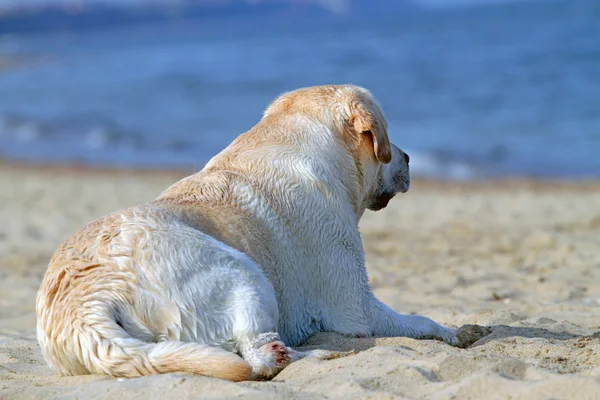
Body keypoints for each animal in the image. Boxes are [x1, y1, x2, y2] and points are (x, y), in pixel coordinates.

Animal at [35, 84, 488, 382]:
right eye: (387, 140)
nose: (409, 157)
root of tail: (83, 306)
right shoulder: (356, 306)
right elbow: (421, 321)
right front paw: (457, 332)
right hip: (244, 276)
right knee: (258, 357)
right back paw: (317, 355)